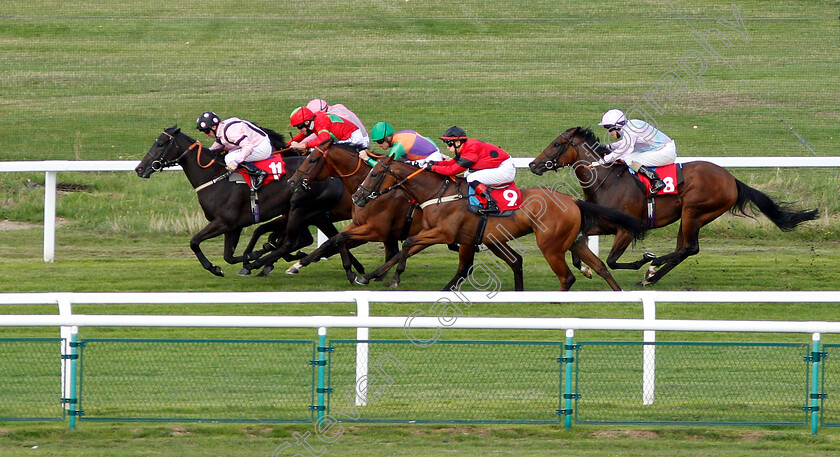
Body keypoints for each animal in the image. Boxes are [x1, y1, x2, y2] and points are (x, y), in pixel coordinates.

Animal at [136, 124, 362, 274]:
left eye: (161, 143)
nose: (139, 168)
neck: (214, 178)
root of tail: (333, 176)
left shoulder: (224, 222)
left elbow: (194, 241)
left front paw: (218, 267)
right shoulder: (233, 226)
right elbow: (228, 256)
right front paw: (247, 258)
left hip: (301, 210)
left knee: (295, 241)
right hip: (311, 214)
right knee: (322, 238)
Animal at [288, 142, 524, 290]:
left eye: (312, 160)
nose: (292, 181)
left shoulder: (377, 230)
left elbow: (341, 240)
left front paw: (355, 273)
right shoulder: (361, 224)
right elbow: (335, 240)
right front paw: (299, 265)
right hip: (486, 236)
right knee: (514, 260)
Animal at [350, 153, 648, 288]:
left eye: (374, 174)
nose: (357, 196)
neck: (439, 193)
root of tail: (572, 200)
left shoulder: (445, 233)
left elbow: (408, 243)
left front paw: (392, 278)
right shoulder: (439, 233)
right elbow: (405, 249)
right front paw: (369, 276)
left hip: (551, 245)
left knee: (567, 277)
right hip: (574, 241)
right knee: (600, 267)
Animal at [532, 126, 820, 284]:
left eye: (556, 144)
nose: (534, 165)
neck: (607, 180)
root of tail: (731, 179)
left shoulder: (626, 229)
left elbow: (613, 261)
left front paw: (641, 260)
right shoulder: (604, 223)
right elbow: (578, 239)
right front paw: (585, 269)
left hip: (694, 211)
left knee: (689, 248)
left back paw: (651, 267)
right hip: (689, 216)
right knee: (684, 249)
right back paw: (651, 276)